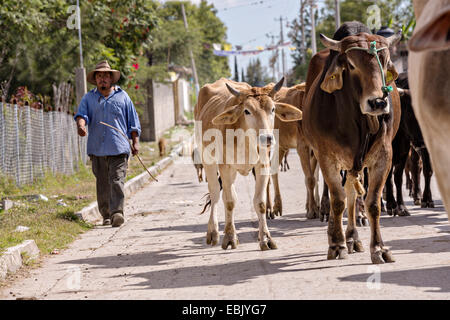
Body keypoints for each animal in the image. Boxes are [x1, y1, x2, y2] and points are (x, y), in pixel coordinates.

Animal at [194, 77, 302, 250]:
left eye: (272, 109)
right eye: (247, 111)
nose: (267, 138)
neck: (245, 140)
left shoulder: (262, 165)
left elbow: (260, 203)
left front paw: (265, 238)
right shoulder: (225, 167)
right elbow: (229, 201)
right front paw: (230, 237)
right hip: (208, 160)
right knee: (216, 193)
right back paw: (213, 232)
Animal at [302, 21, 400, 264]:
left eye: (384, 61)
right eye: (352, 65)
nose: (377, 102)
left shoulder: (384, 156)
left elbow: (372, 203)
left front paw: (379, 248)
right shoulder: (326, 156)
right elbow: (337, 201)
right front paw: (337, 244)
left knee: (352, 193)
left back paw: (353, 238)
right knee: (339, 195)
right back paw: (337, 235)